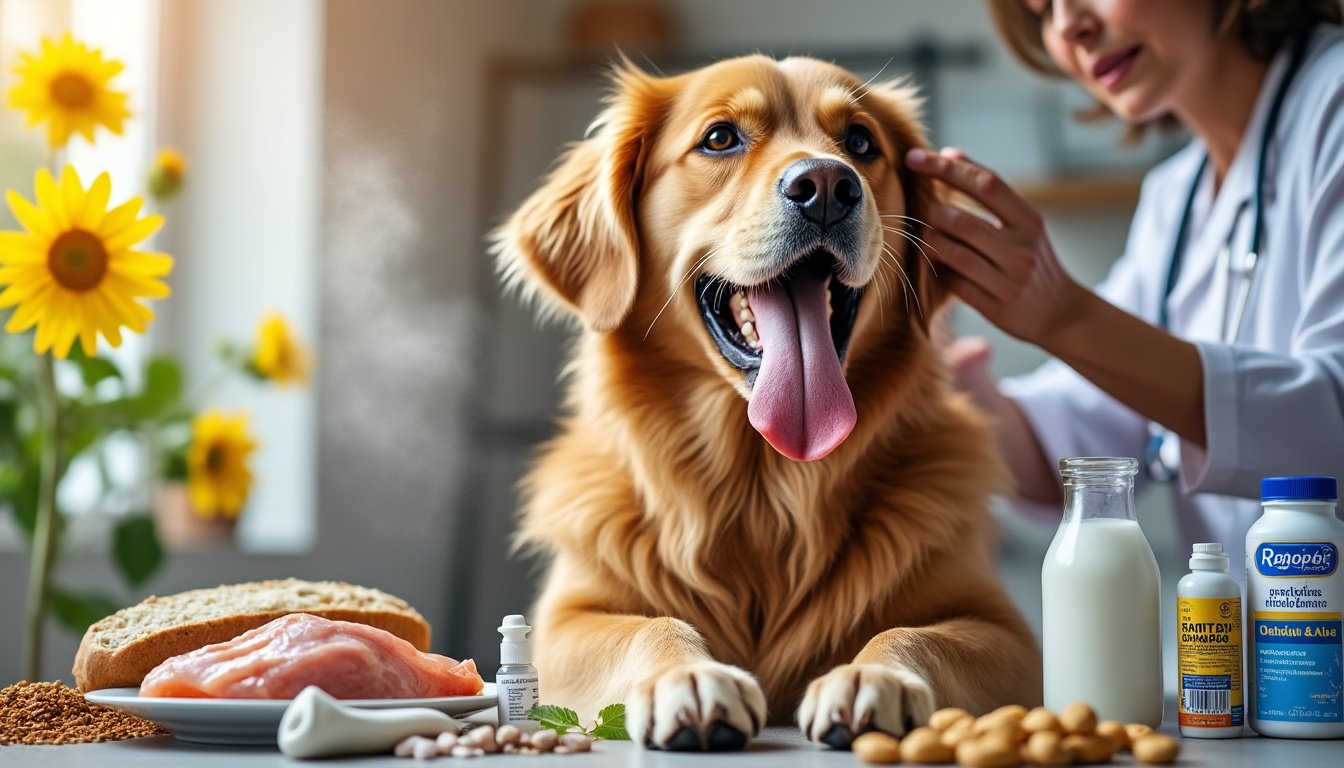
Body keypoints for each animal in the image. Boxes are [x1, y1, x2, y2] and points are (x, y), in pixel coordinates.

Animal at [494, 54, 1037, 753]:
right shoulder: (567, 619)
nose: (827, 185)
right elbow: (648, 625)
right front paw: (691, 679)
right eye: (720, 138)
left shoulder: (1007, 633)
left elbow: (918, 635)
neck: (765, 483)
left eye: (861, 142)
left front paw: (873, 677)